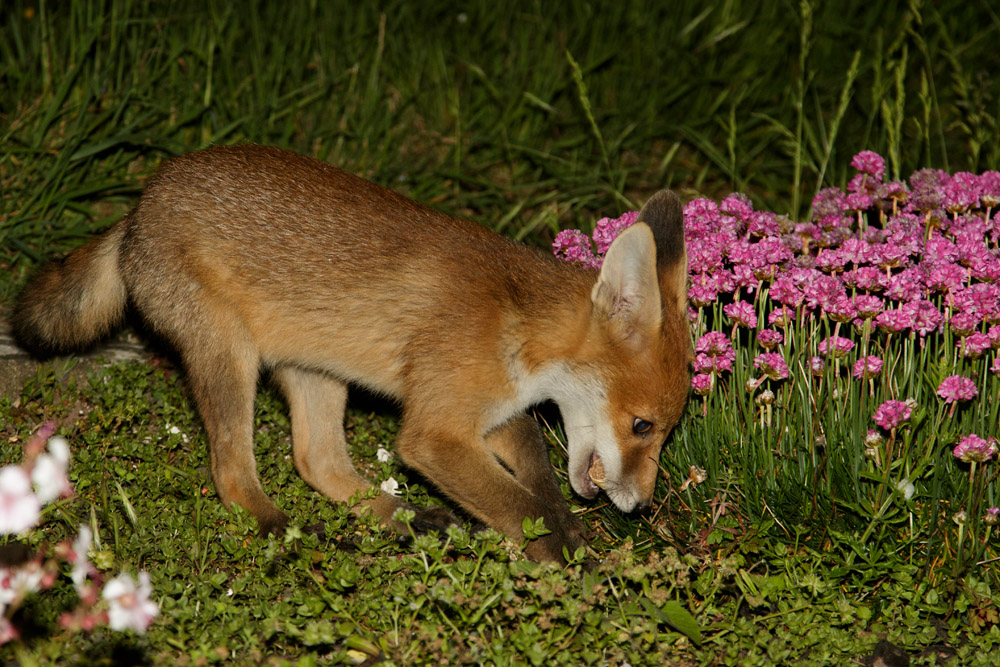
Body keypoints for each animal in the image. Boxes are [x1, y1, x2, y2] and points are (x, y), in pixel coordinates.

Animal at [12, 144, 691, 563]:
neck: (517, 322)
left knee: (318, 462)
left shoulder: (488, 408)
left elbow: (538, 476)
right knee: (233, 476)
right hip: (229, 358)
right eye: (642, 426)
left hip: (316, 373)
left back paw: (405, 520)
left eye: (659, 431)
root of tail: (138, 207)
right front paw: (569, 559)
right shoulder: (435, 431)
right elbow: (517, 503)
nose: (639, 506)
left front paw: (568, 526)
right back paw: (292, 533)